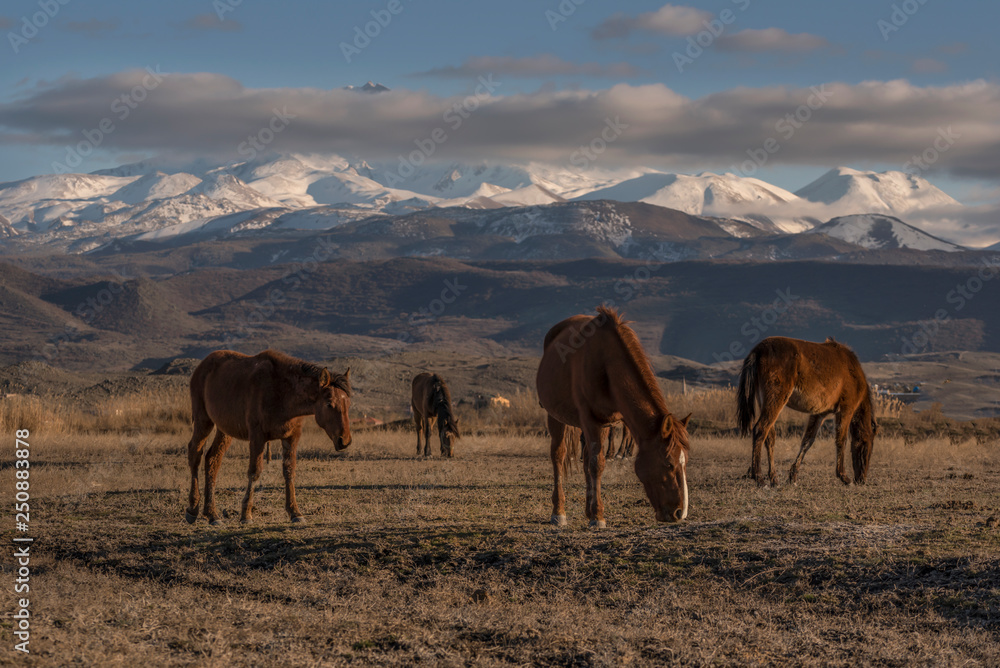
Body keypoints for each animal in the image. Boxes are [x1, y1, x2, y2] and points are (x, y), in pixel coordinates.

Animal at [186, 348, 354, 524]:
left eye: (348, 404)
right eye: (329, 404)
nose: (345, 441)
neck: (282, 392)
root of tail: (203, 365)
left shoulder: (292, 437)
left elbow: (289, 471)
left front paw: (295, 512)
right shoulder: (257, 437)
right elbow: (255, 472)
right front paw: (246, 514)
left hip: (224, 430)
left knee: (213, 460)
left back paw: (212, 514)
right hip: (203, 420)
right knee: (195, 454)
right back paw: (193, 509)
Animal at [540, 306, 688, 528]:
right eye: (669, 463)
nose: (680, 513)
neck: (607, 363)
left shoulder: (610, 422)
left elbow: (594, 462)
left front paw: (593, 512)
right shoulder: (590, 421)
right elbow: (597, 464)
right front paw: (598, 517)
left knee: (585, 461)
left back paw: (586, 510)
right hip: (555, 417)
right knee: (558, 456)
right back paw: (559, 512)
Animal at [736, 340, 876, 486]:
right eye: (866, 446)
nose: (862, 479)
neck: (853, 372)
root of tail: (757, 350)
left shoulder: (819, 414)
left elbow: (807, 441)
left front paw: (793, 476)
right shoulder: (846, 410)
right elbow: (841, 440)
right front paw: (843, 476)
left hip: (765, 401)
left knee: (769, 436)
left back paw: (774, 478)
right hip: (776, 399)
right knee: (760, 429)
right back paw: (759, 477)